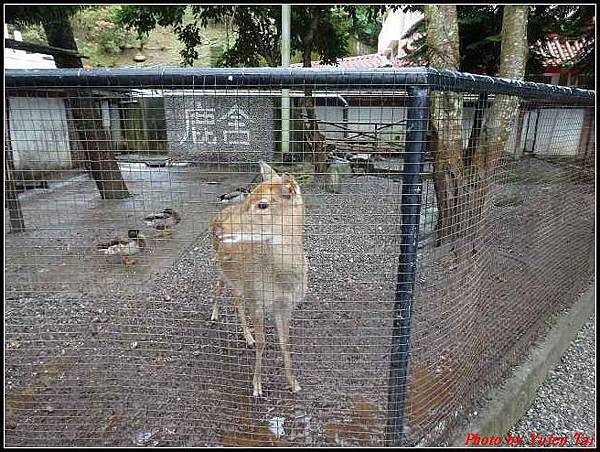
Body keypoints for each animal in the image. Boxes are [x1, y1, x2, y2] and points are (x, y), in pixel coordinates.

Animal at [209, 162, 308, 396]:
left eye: (263, 204)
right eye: (249, 196)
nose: (219, 230)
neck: (281, 281)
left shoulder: (286, 305)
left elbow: (285, 342)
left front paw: (294, 384)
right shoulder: (257, 299)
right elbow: (264, 342)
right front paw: (257, 387)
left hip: (239, 280)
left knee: (236, 299)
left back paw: (248, 337)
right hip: (221, 268)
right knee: (219, 286)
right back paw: (215, 315)